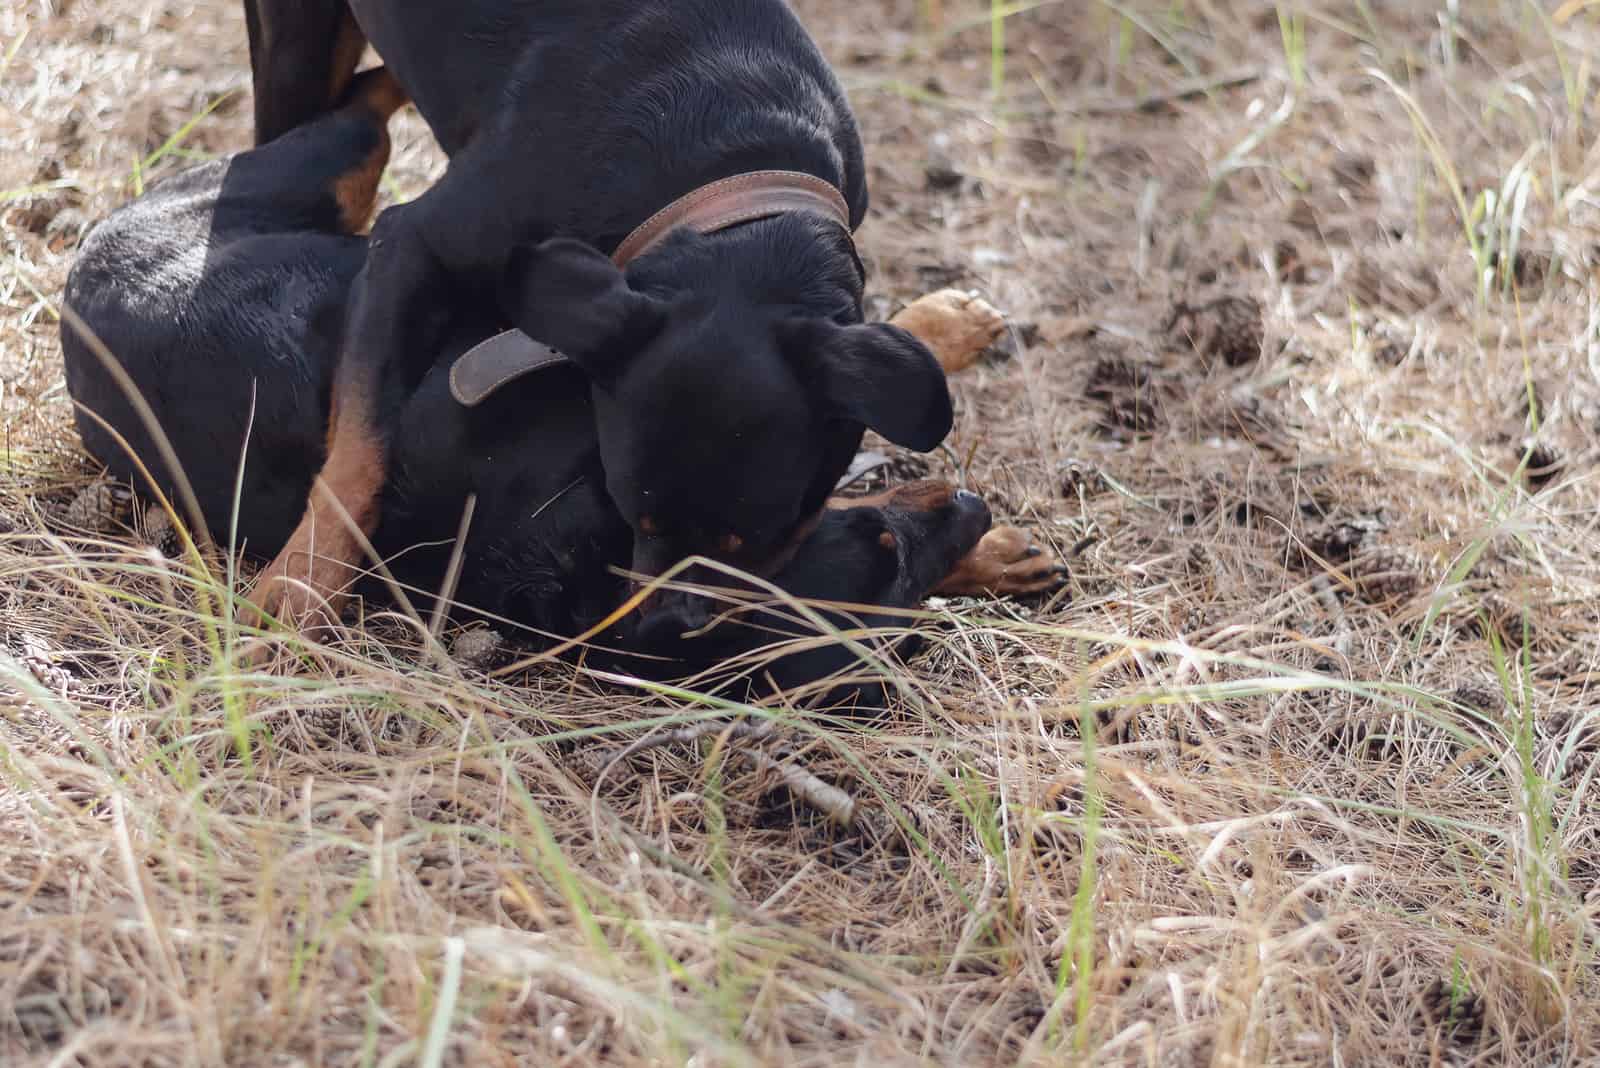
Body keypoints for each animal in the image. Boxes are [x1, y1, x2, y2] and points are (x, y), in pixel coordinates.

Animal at [62, 70, 1062, 700]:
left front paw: (992, 551)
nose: (972, 506)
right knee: (365, 112)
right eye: (883, 553)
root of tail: (75, 280)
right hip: (316, 175)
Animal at [240, 0, 985, 633]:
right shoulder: (410, 248)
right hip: (298, 49)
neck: (730, 168)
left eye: (761, 538)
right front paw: (297, 587)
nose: (669, 625)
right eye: (636, 516)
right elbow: (360, 454)